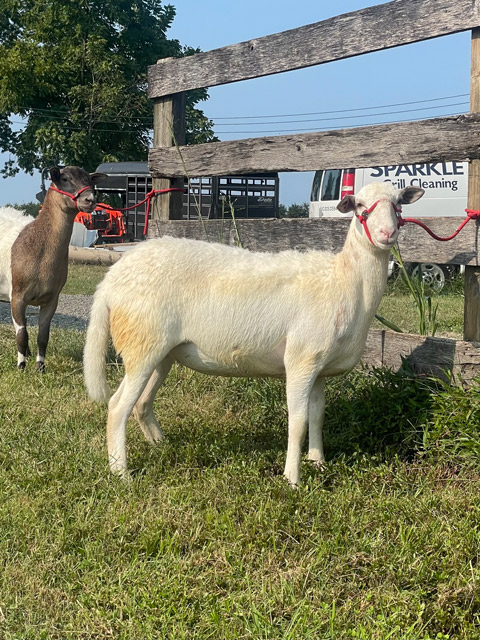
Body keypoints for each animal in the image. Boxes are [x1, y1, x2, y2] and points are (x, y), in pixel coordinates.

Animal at [4, 166, 106, 371]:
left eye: (90, 180)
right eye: (64, 179)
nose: (90, 199)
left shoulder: (51, 298)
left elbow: (43, 336)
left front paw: (40, 368)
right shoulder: (17, 295)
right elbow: (22, 334)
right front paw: (21, 367)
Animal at [84, 182, 424, 485]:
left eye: (398, 203)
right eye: (360, 206)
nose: (387, 234)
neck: (345, 279)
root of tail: (112, 278)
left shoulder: (320, 368)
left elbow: (317, 416)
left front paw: (318, 462)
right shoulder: (301, 360)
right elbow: (298, 422)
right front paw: (292, 478)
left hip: (161, 351)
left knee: (141, 403)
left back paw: (159, 445)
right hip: (142, 342)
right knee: (118, 407)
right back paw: (121, 473)